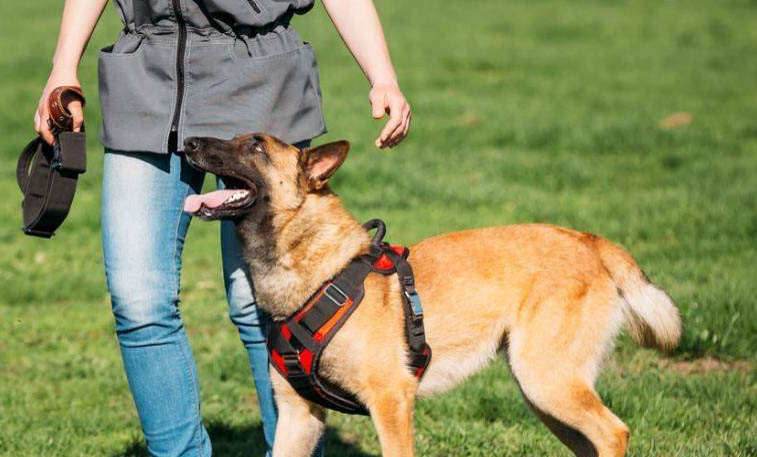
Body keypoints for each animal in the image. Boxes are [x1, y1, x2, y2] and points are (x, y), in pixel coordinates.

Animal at [182, 133, 680, 456]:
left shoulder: (391, 400)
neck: (320, 273)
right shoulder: (298, 417)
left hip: (547, 380)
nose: (187, 141)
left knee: (613, 433)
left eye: (256, 147)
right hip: (545, 392)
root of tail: (591, 241)